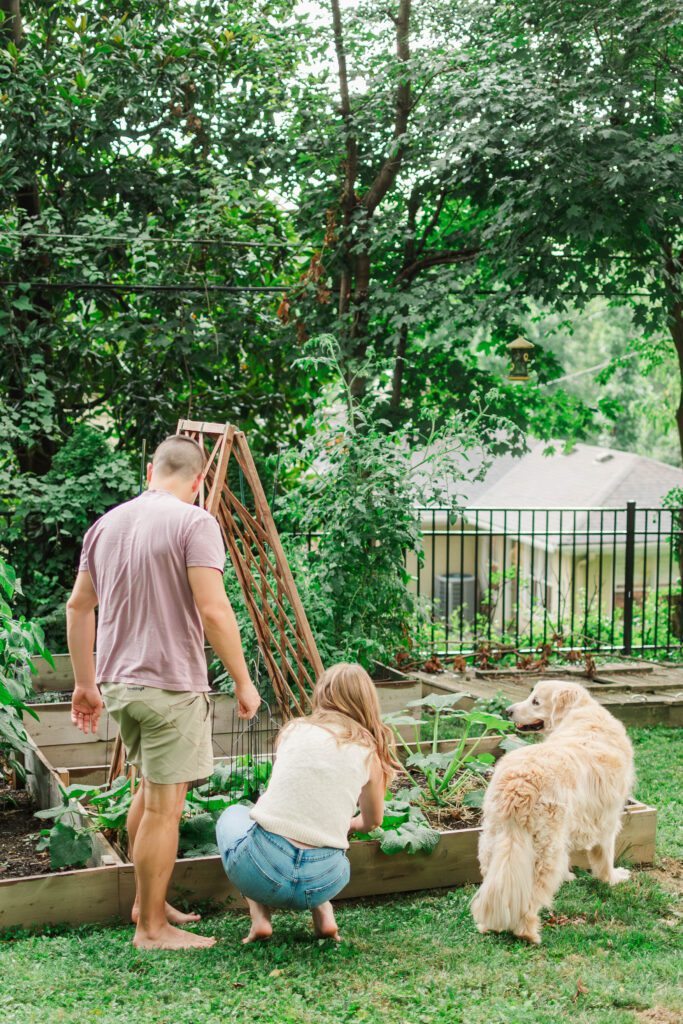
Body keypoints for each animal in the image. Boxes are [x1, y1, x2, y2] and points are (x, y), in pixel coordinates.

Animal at [471, 679, 634, 942]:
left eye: (535, 701)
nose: (508, 711)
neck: (580, 712)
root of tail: (519, 785)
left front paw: (568, 876)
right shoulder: (607, 819)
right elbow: (605, 857)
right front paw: (612, 879)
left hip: (494, 840)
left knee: (495, 886)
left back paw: (488, 925)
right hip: (545, 849)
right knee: (532, 896)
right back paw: (528, 933)